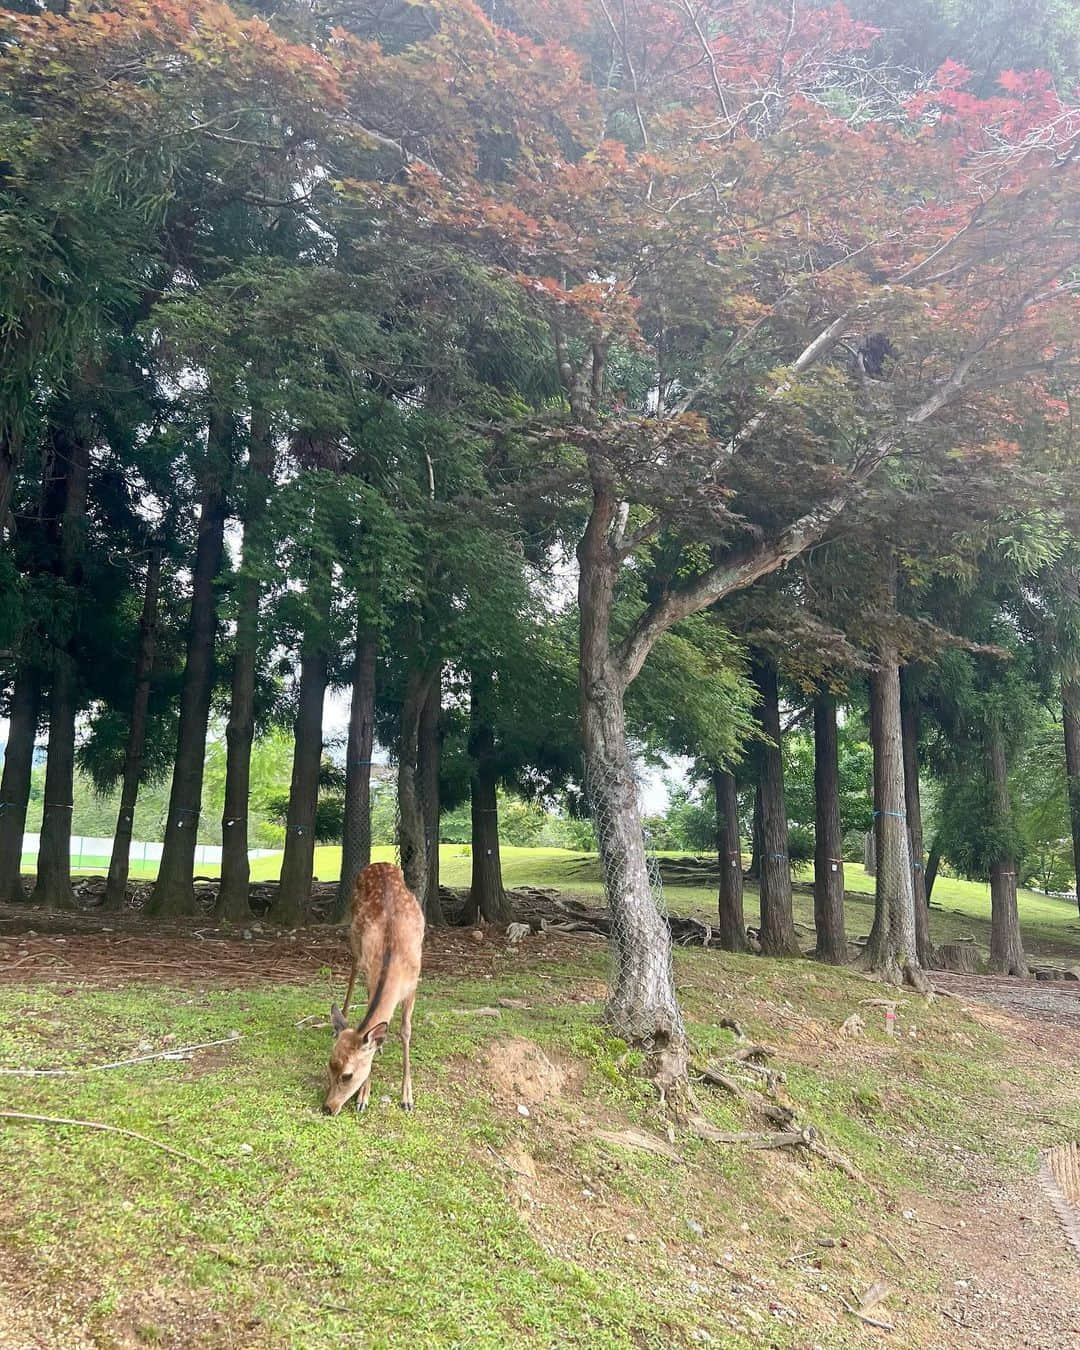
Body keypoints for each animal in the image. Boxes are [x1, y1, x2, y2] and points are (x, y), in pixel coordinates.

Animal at [322, 864, 423, 1117]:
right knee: (353, 968)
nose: (328, 1107)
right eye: (329, 1064)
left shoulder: (414, 984)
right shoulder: (370, 977)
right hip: (354, 935)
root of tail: (380, 864)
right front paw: (363, 1097)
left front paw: (407, 1098)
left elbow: (405, 1031)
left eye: (347, 1075)